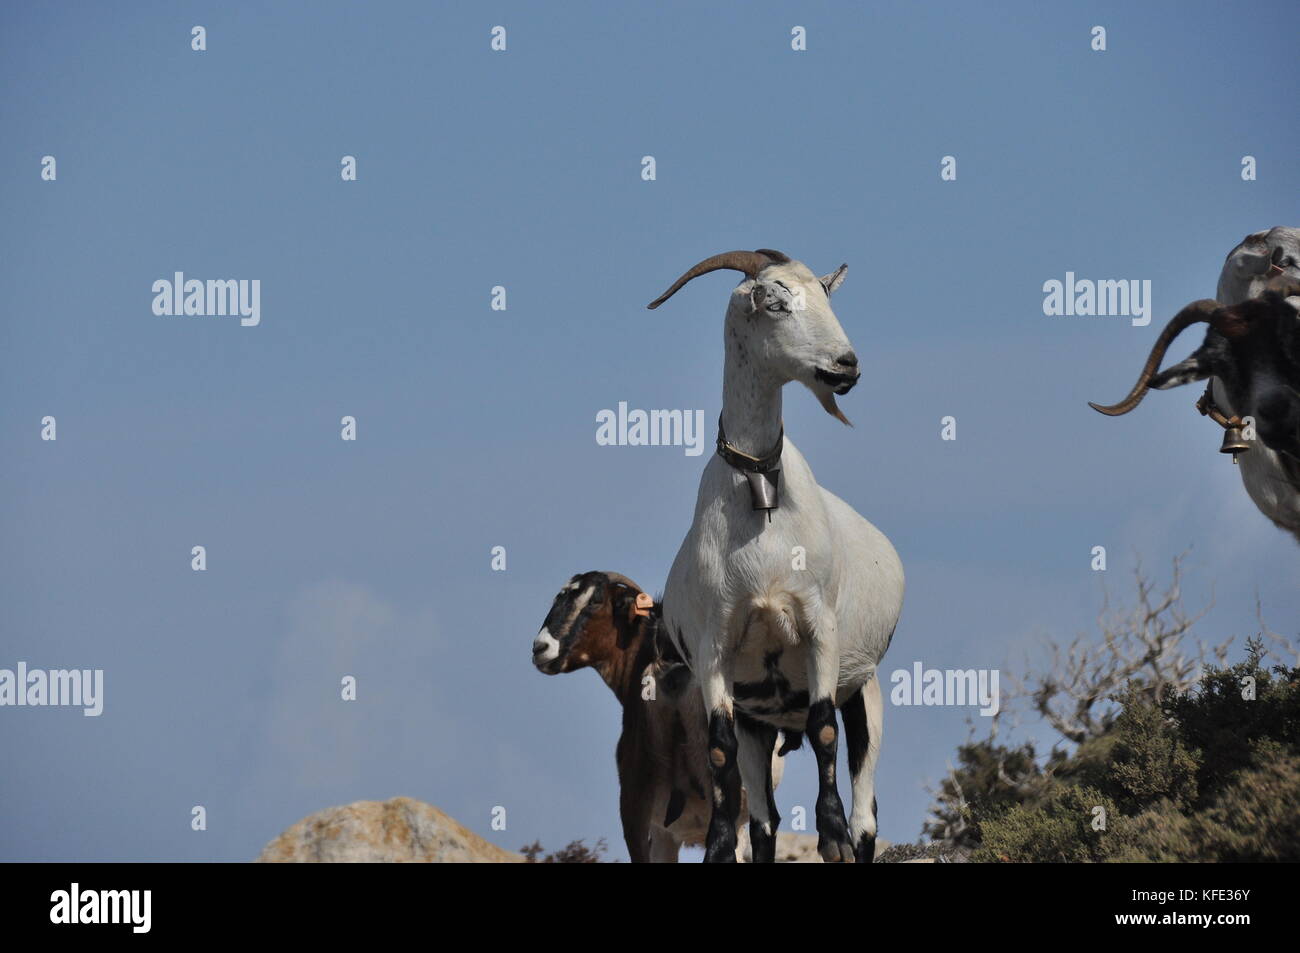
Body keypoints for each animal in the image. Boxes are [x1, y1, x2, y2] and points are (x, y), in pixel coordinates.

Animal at [647, 249, 905, 863]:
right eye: (775, 300)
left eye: (826, 296)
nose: (846, 365)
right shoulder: (716, 652)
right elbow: (718, 753)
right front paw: (718, 845)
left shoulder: (819, 631)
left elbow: (823, 728)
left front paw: (831, 836)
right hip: (760, 722)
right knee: (763, 821)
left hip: (867, 691)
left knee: (866, 815)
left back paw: (851, 830)